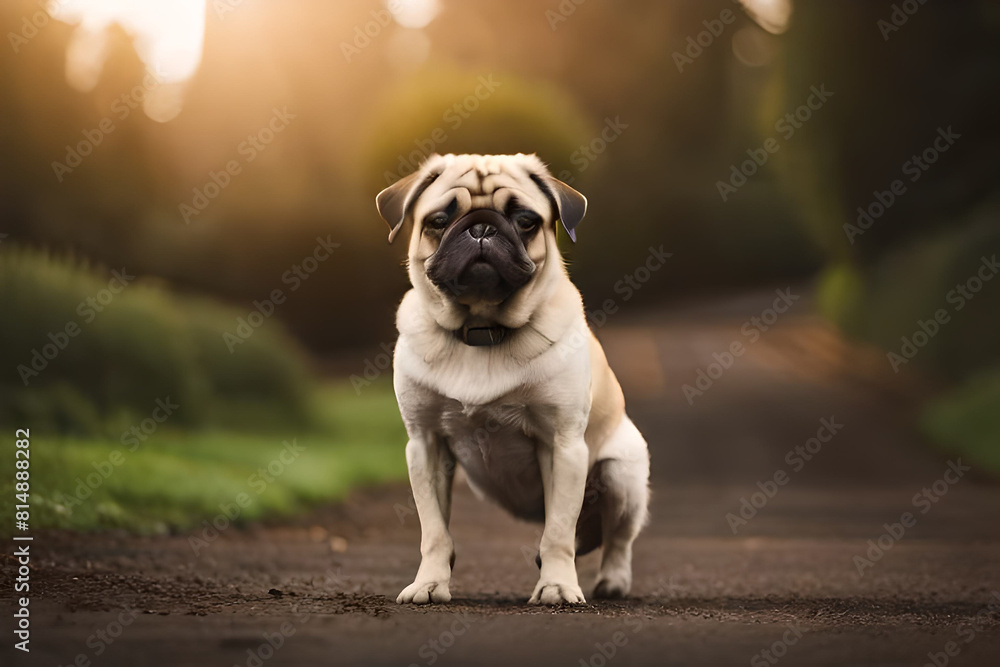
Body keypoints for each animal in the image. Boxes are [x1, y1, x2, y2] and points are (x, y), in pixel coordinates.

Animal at [376, 151, 648, 604]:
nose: (482, 227)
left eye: (524, 220)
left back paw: (613, 581)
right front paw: (430, 582)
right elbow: (435, 532)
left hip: (621, 476)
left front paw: (557, 586)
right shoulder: (425, 444)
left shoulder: (562, 445)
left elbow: (557, 532)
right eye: (439, 220)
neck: (482, 330)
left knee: (616, 540)